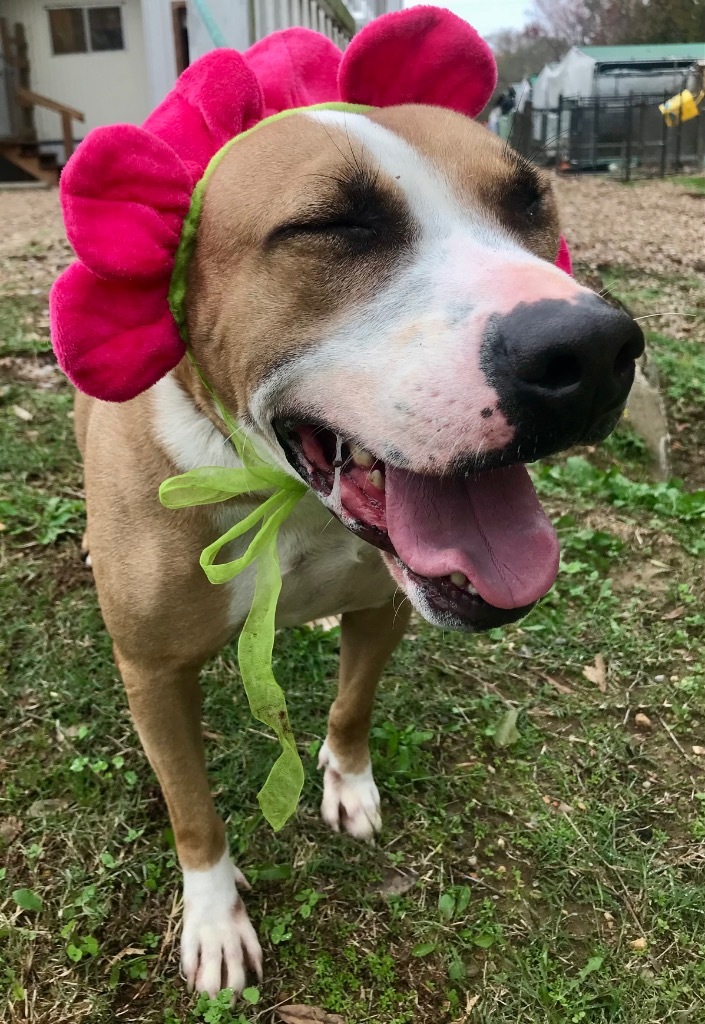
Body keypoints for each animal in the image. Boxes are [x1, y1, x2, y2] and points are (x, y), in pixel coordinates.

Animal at [74, 108, 643, 995]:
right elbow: (192, 810)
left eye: (528, 200)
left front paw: (348, 784)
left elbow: (352, 705)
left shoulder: (383, 608)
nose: (588, 351)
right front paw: (214, 919)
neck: (290, 500)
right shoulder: (153, 672)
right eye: (335, 225)